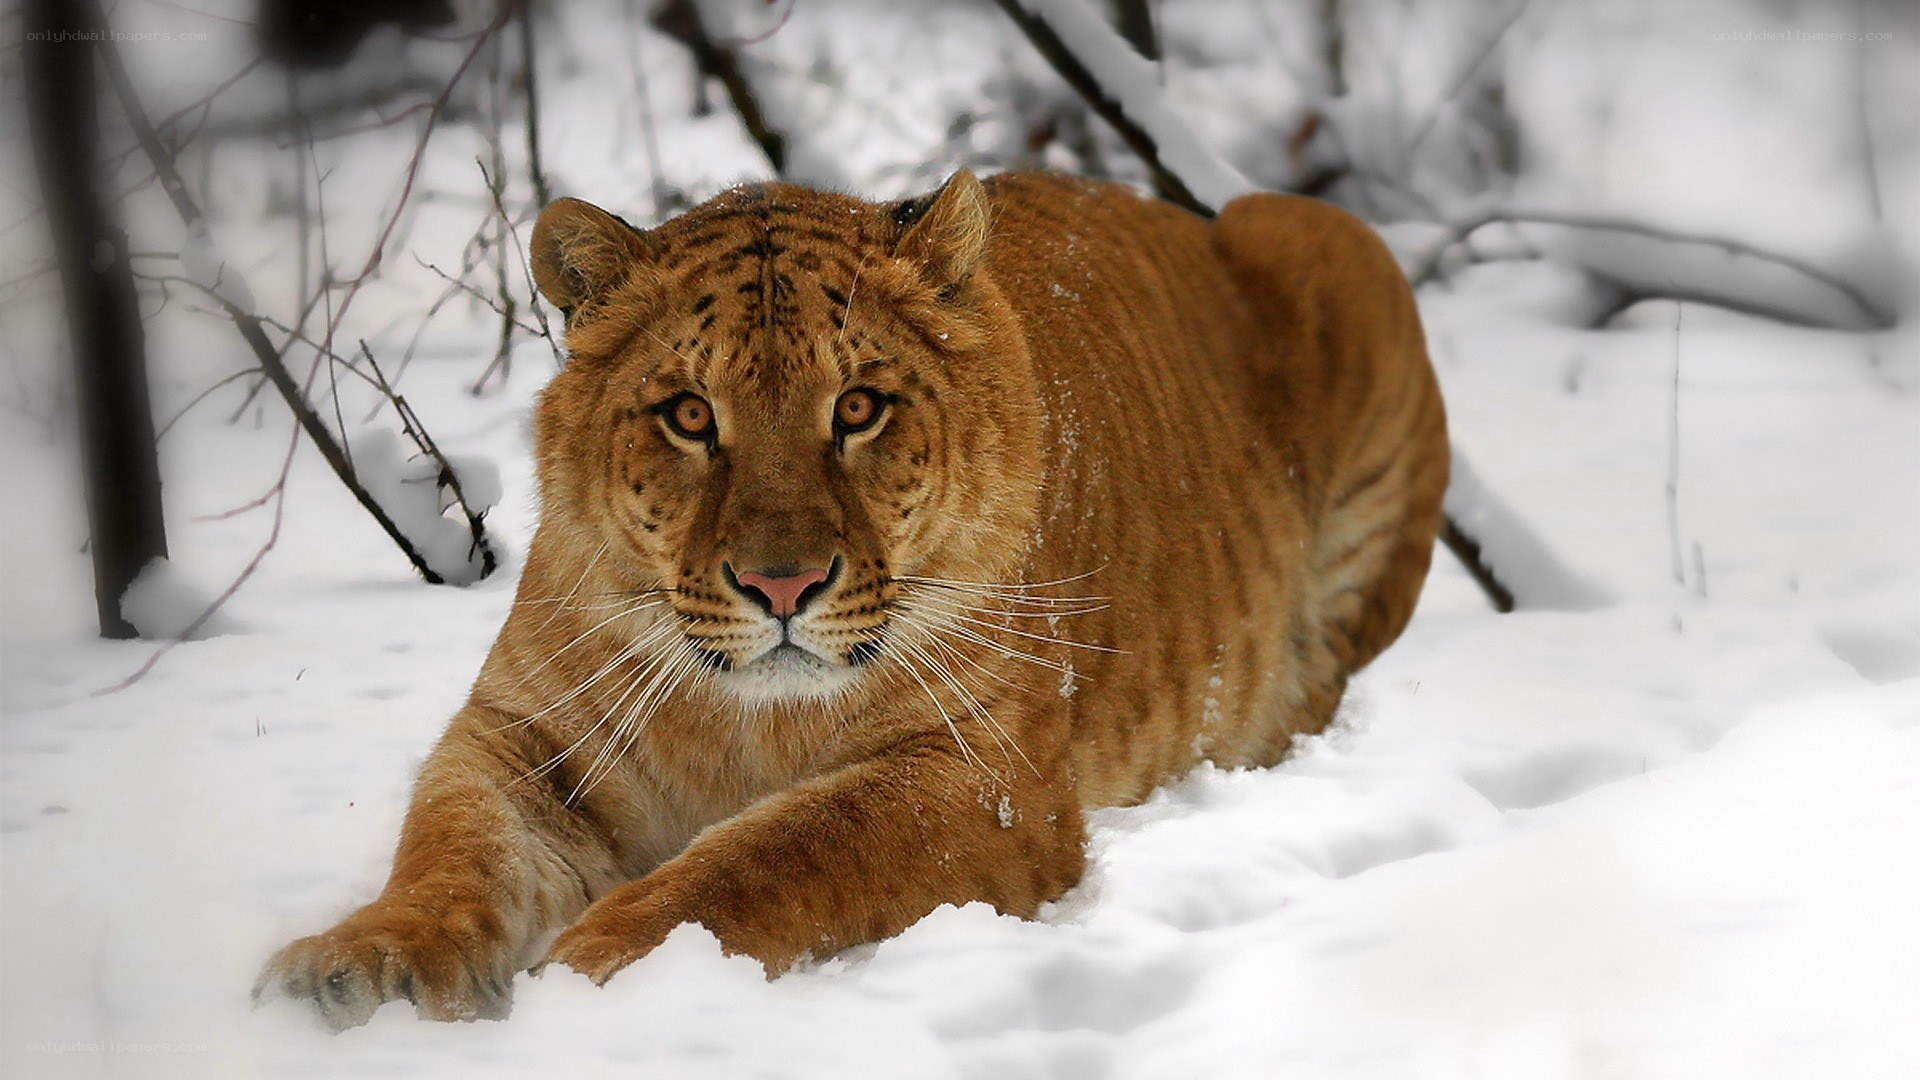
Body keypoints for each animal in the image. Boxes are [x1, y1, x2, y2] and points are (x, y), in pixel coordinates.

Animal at [255, 170, 1447, 1029]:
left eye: (860, 407)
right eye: (691, 415)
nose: (781, 585)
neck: (734, 719)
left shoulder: (985, 779)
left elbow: (762, 858)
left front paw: (599, 974)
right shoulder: (524, 734)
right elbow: (453, 845)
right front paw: (359, 964)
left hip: (1326, 241)